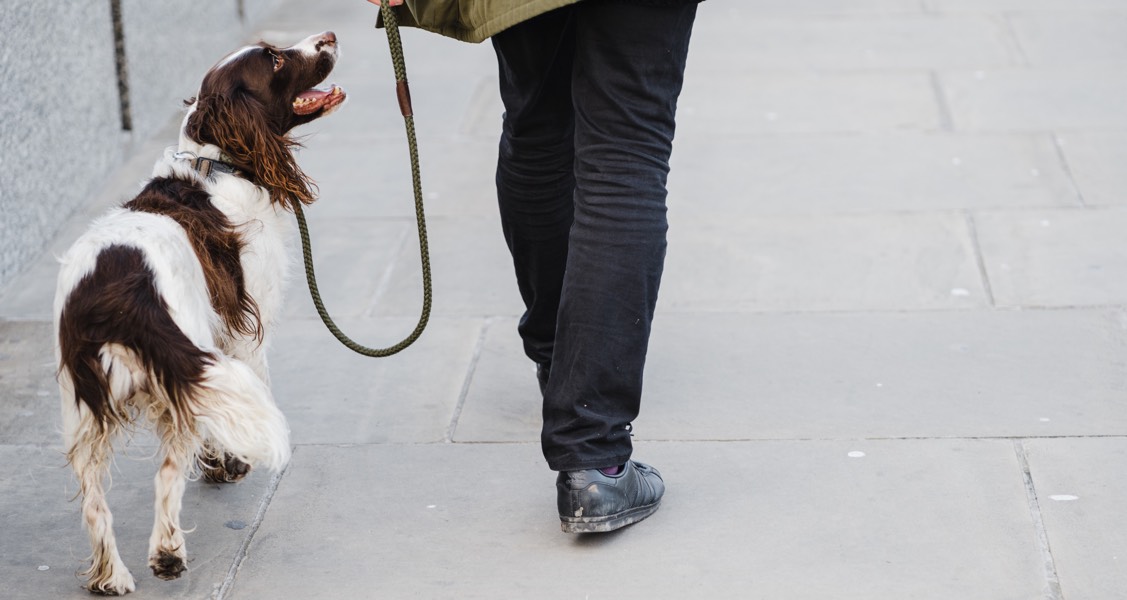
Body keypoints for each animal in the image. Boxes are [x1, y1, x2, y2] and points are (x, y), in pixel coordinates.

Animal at [54, 31, 344, 590]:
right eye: (275, 59)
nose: (330, 37)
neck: (217, 161)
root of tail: (116, 294)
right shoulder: (241, 329)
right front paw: (227, 461)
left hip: (84, 409)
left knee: (95, 500)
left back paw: (111, 576)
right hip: (176, 363)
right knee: (167, 474)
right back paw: (167, 553)